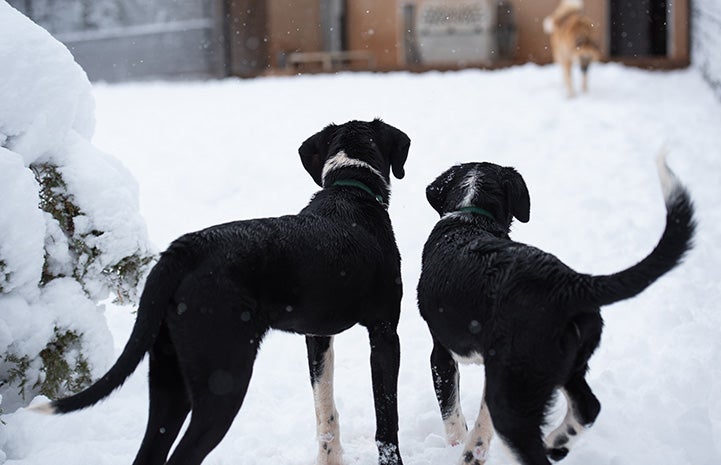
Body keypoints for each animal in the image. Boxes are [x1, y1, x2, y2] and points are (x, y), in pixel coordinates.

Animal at [33, 118, 410, 462]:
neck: (352, 187)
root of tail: (185, 249)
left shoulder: (317, 337)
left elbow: (325, 411)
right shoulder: (384, 332)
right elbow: (387, 420)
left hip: (170, 380)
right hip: (225, 380)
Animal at [416, 156, 692, 464]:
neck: (472, 216)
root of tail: (568, 283)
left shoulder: (441, 353)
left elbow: (451, 413)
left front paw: (461, 447)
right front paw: (475, 447)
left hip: (519, 389)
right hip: (561, 366)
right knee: (588, 407)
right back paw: (557, 442)